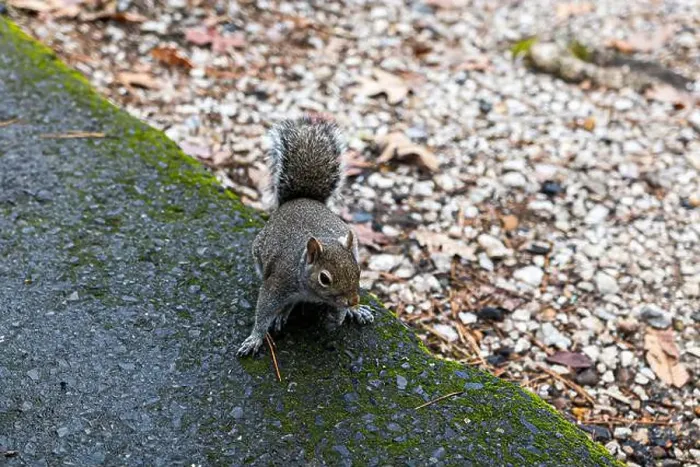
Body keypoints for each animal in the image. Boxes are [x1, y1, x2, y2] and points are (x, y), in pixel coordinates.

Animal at [237, 116, 374, 356]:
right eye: (324, 279)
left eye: (358, 270)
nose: (353, 300)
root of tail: (301, 199)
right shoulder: (278, 283)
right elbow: (263, 311)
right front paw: (255, 338)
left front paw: (343, 314)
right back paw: (284, 312)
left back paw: (356, 311)